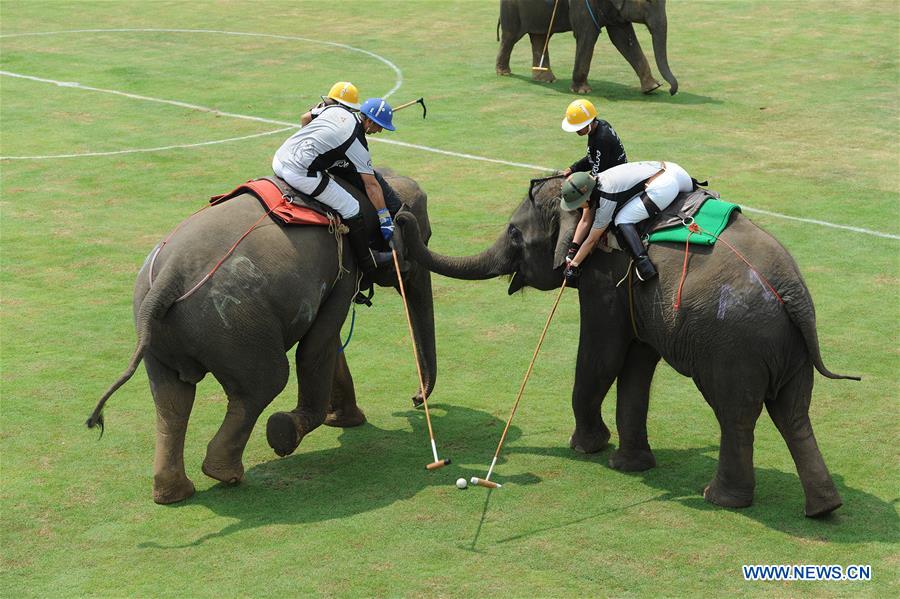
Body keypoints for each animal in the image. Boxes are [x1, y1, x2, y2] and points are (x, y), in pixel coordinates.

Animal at [88, 171, 436, 504]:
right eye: (426, 236)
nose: (415, 399)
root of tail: (168, 279)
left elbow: (328, 341)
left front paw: (346, 420)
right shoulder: (346, 266)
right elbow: (317, 346)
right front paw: (291, 429)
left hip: (162, 337)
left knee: (172, 401)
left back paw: (174, 493)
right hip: (237, 326)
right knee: (263, 384)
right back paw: (227, 473)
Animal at [400, 176, 856, 516]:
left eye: (514, 233)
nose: (401, 214)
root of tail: (792, 293)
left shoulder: (607, 275)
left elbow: (601, 356)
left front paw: (586, 447)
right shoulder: (636, 296)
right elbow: (635, 364)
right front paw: (629, 464)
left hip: (735, 348)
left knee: (735, 416)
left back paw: (720, 499)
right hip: (787, 350)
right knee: (793, 414)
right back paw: (824, 508)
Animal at [496, 0, 680, 95]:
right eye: (648, 1)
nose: (672, 91)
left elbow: (622, 38)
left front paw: (652, 87)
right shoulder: (581, 5)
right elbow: (587, 35)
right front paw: (583, 91)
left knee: (540, 37)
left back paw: (546, 79)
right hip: (512, 8)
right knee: (511, 36)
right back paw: (504, 72)